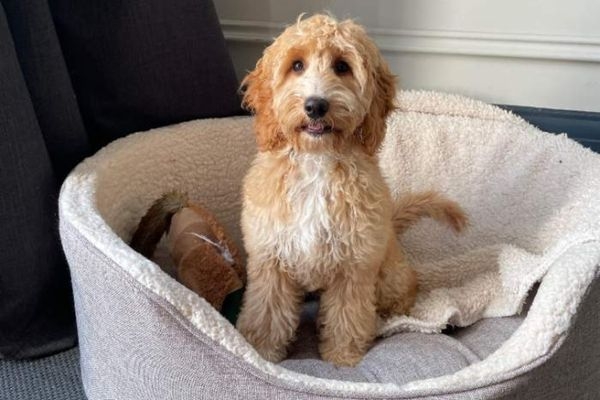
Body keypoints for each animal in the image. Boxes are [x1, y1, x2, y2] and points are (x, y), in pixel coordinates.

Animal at [236, 14, 468, 366]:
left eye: (342, 66)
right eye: (297, 65)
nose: (315, 105)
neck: (317, 161)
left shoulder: (355, 265)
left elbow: (347, 315)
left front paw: (342, 356)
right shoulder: (271, 258)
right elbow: (267, 312)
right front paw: (261, 352)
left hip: (388, 273)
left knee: (403, 292)